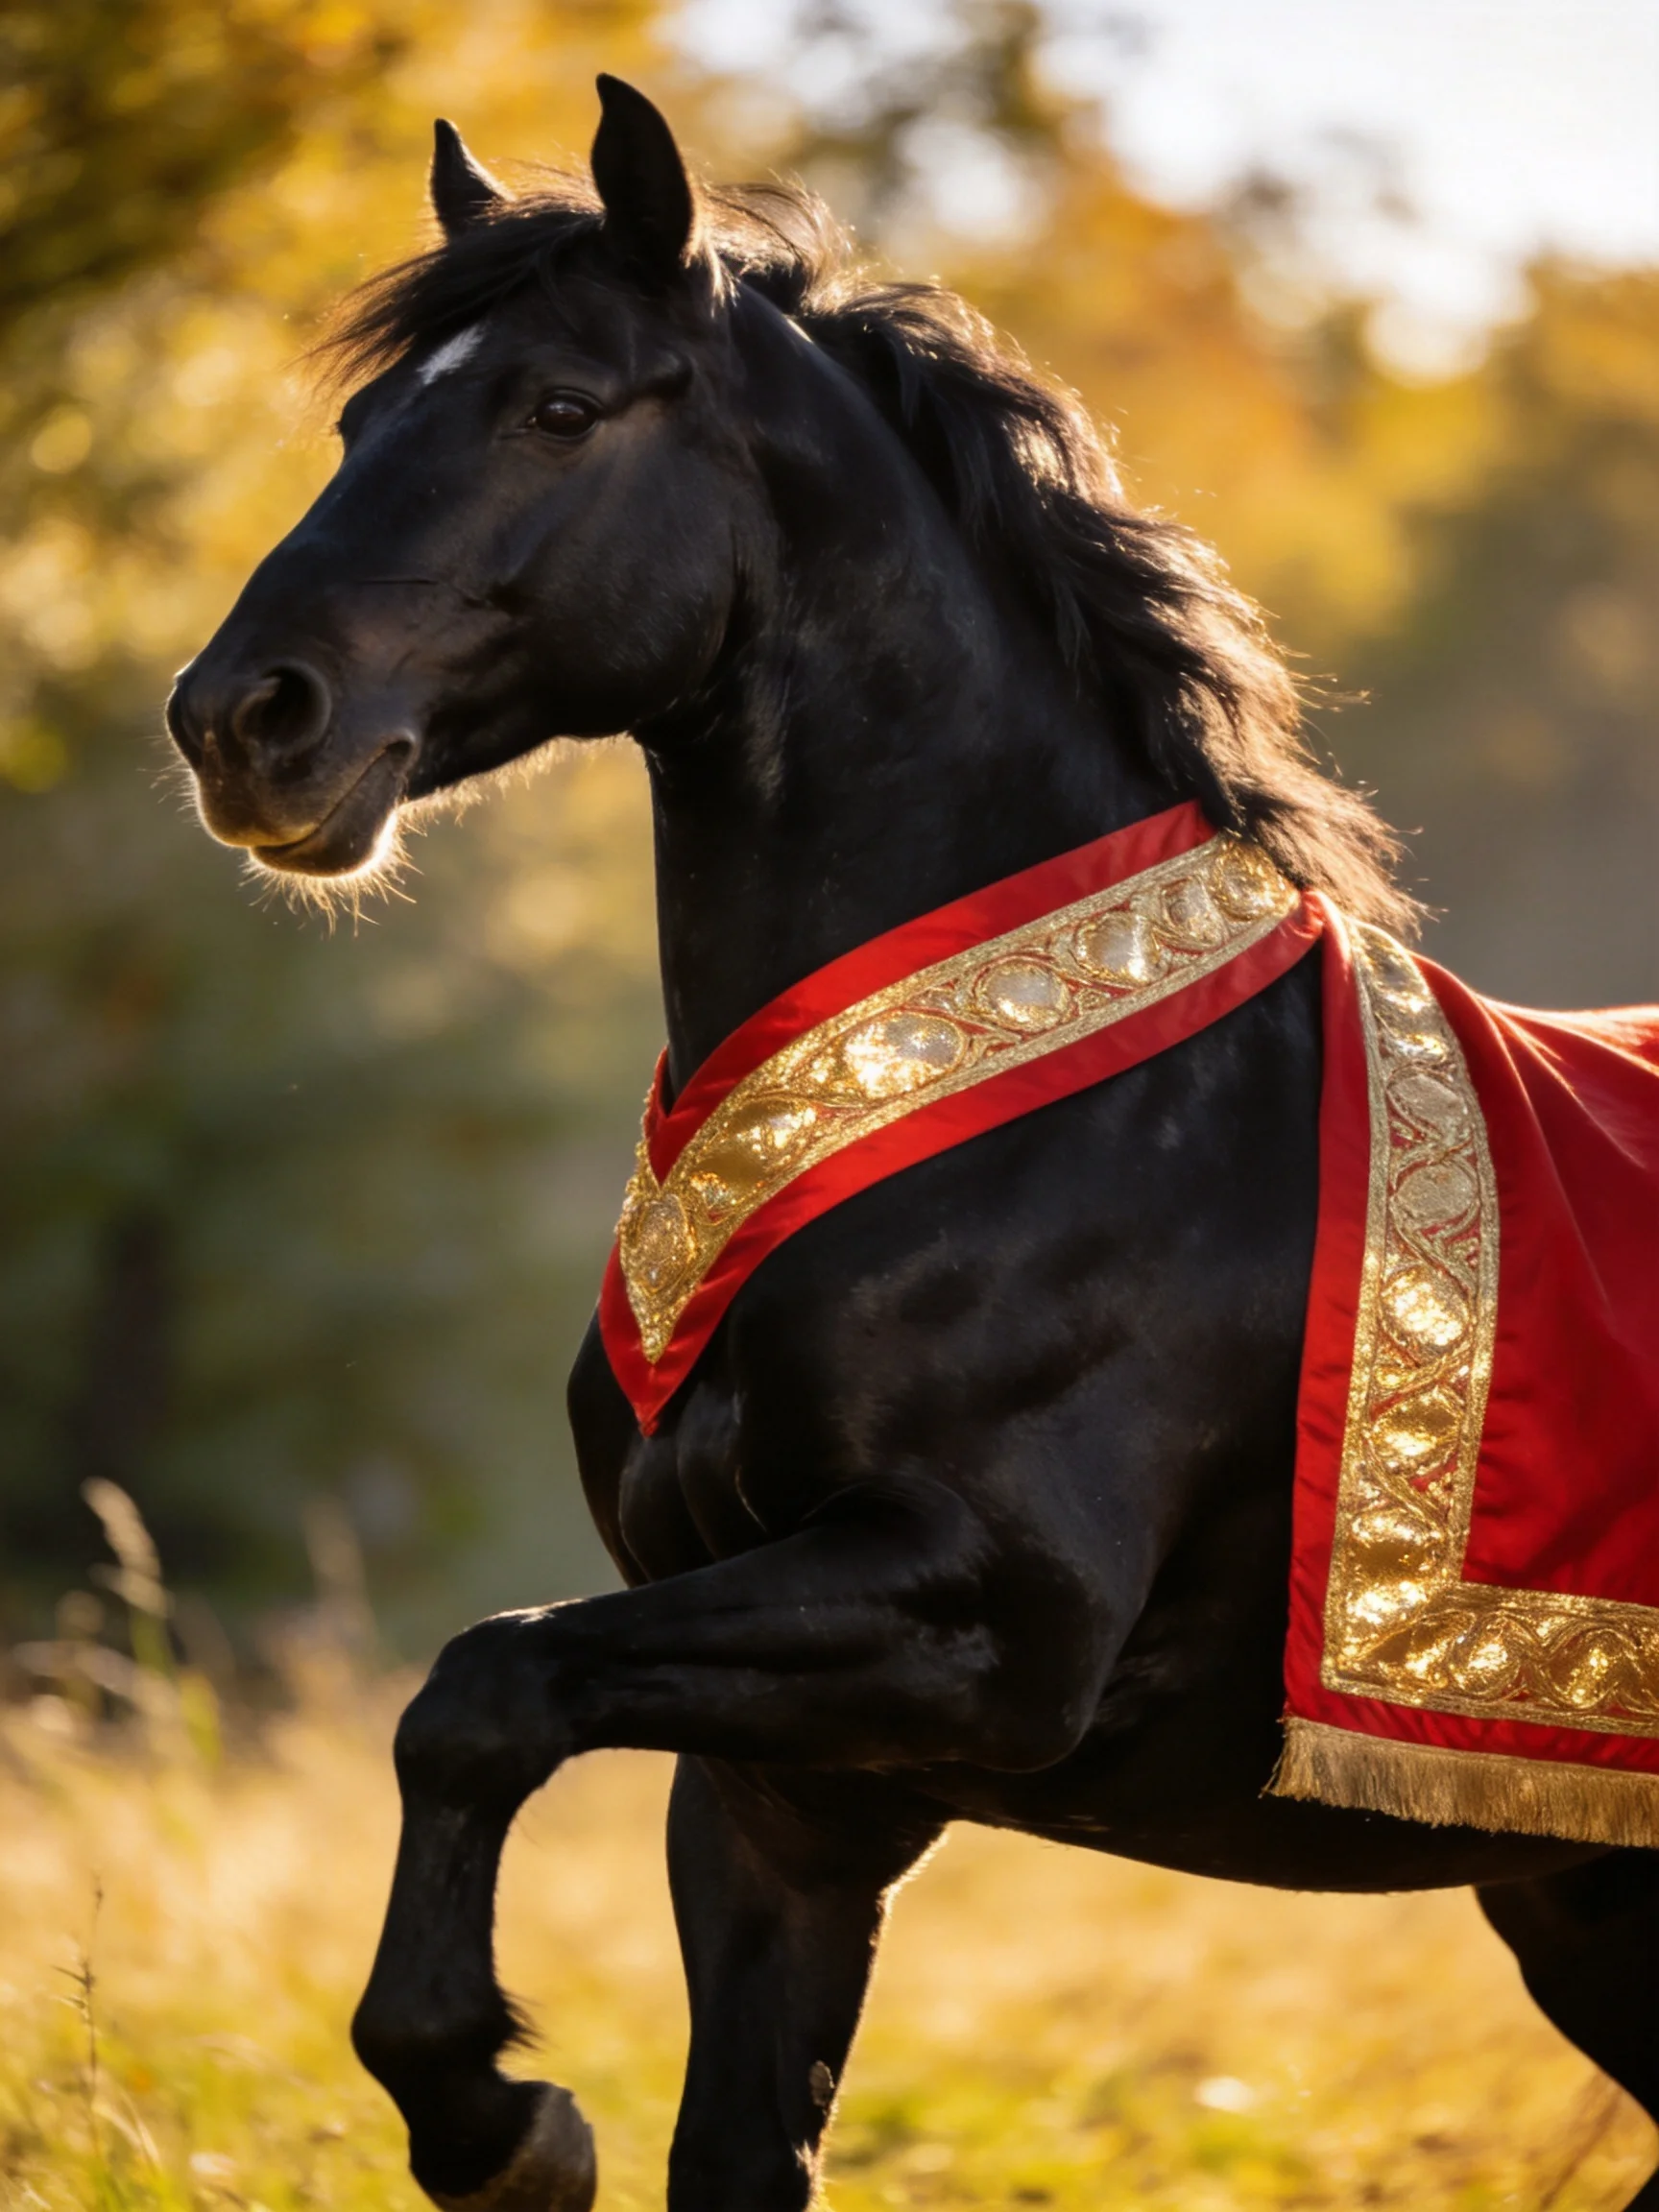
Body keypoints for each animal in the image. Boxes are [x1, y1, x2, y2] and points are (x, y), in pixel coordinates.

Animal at [165, 76, 1659, 2212]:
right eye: (367, 418)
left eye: (558, 404)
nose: (242, 720)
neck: (1076, 1140)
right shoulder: (786, 1793)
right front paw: (490, 2105)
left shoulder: (983, 1623)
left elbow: (480, 1684)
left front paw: (494, 2112)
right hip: (1583, 1899)